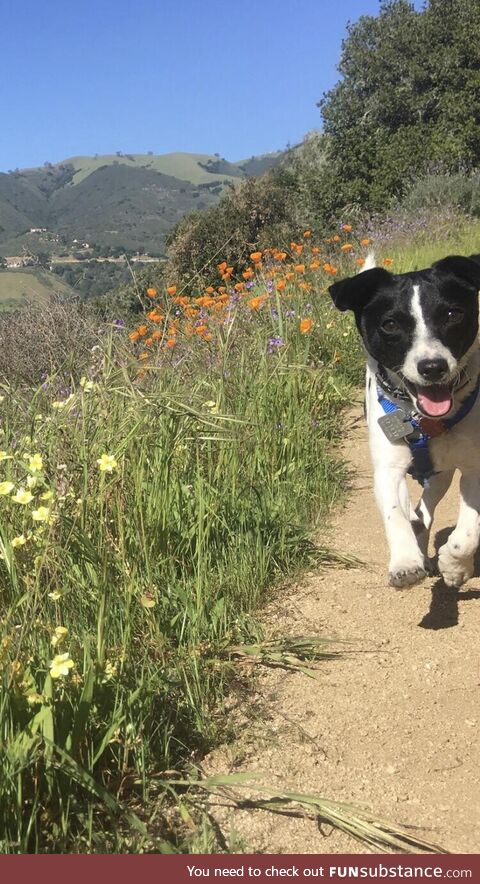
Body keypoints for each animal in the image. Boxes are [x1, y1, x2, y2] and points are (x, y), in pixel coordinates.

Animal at [328, 252, 480, 592]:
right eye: (390, 324)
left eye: (452, 314)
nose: (433, 367)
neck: (424, 422)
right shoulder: (388, 468)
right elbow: (395, 514)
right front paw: (405, 562)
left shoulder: (475, 467)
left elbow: (467, 533)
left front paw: (455, 566)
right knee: (417, 513)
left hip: (441, 474)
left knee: (428, 508)